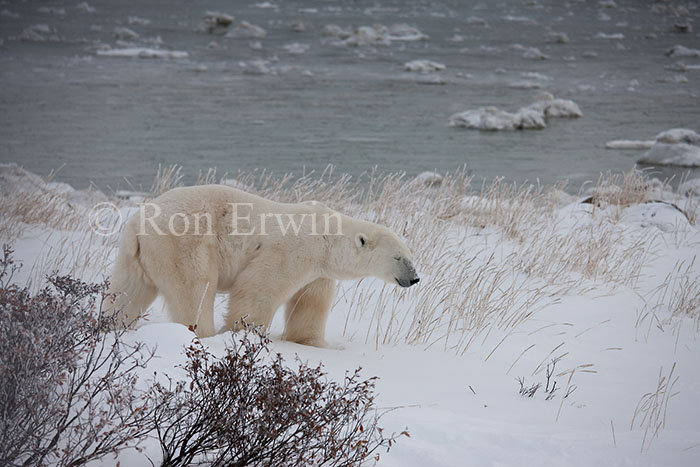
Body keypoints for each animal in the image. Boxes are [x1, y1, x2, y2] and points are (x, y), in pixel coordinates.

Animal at [104, 184, 419, 347]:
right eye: (398, 257)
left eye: (410, 255)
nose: (414, 278)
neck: (326, 234)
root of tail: (138, 222)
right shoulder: (291, 250)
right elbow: (258, 290)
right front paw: (243, 334)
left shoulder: (318, 272)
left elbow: (309, 303)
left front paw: (310, 343)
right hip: (183, 241)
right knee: (195, 288)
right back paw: (202, 335)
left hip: (135, 254)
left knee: (126, 292)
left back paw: (110, 324)